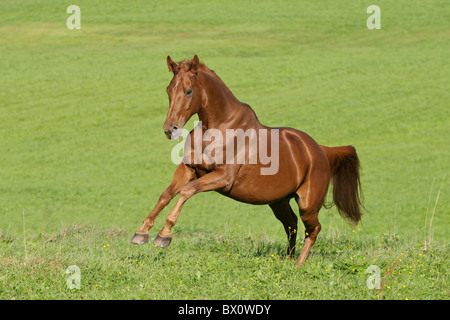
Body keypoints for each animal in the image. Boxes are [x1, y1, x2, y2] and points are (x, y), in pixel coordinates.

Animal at [130, 53, 362, 266]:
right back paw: (287, 261)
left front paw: (164, 235)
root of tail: (321, 150)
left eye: (188, 91)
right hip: (279, 202)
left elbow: (187, 191)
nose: (170, 129)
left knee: (313, 229)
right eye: (169, 89)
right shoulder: (188, 169)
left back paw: (298, 265)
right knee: (291, 224)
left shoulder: (223, 177)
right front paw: (141, 233)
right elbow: (166, 194)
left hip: (308, 204)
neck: (218, 128)